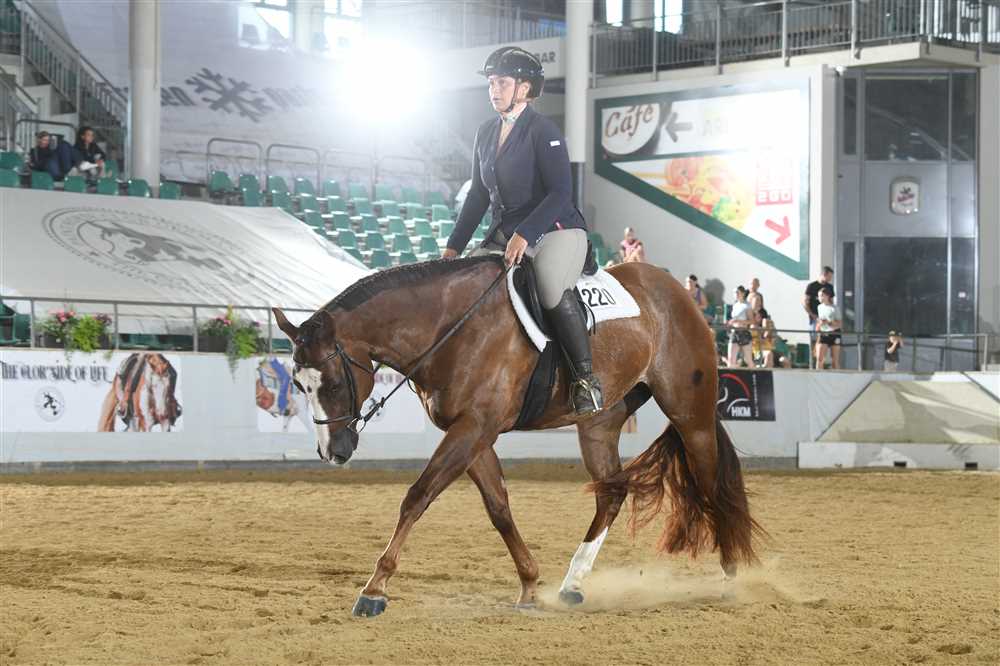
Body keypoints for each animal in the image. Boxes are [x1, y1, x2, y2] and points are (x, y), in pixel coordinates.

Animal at [272, 255, 762, 617]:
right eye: (298, 385)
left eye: (334, 383)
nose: (334, 452)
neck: (451, 325)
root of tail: (675, 289)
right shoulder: (473, 433)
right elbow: (499, 507)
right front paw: (529, 583)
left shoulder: (474, 426)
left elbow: (417, 496)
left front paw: (374, 589)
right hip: (599, 423)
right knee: (612, 492)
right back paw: (573, 583)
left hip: (690, 412)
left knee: (711, 483)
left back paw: (732, 579)